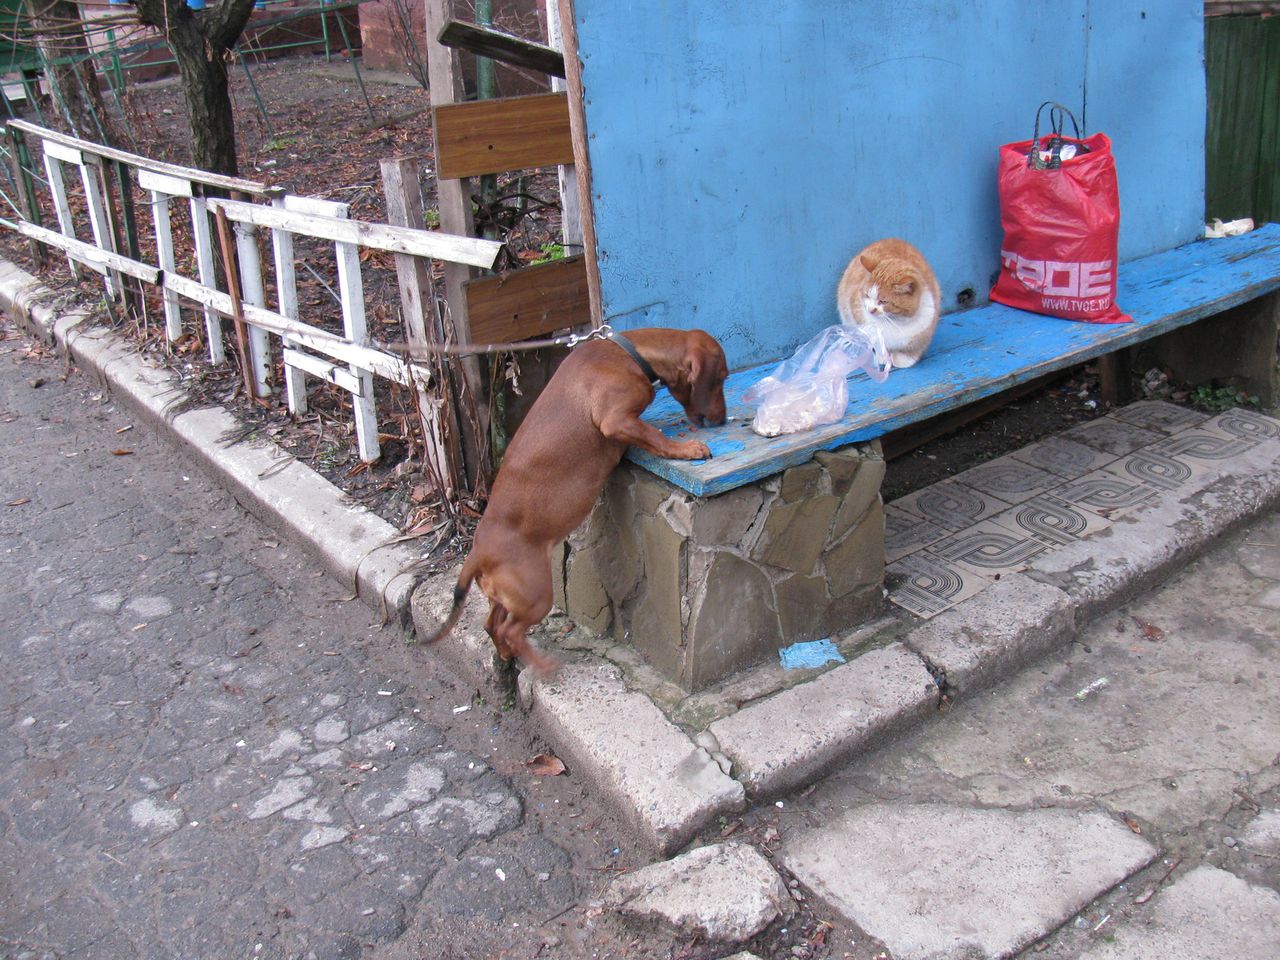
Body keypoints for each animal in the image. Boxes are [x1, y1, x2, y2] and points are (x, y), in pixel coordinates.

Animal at [427, 327, 732, 670]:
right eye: (722, 376)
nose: (721, 421)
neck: (630, 352)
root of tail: (478, 554)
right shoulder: (616, 420)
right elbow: (655, 437)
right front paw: (687, 449)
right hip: (536, 596)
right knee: (510, 629)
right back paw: (543, 665)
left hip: (503, 597)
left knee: (492, 625)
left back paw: (507, 654)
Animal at [839, 240, 942, 371]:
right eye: (867, 295)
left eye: (883, 301)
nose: (870, 310)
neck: (896, 321)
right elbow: (877, 342)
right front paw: (882, 356)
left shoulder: (927, 327)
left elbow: (916, 347)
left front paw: (905, 359)